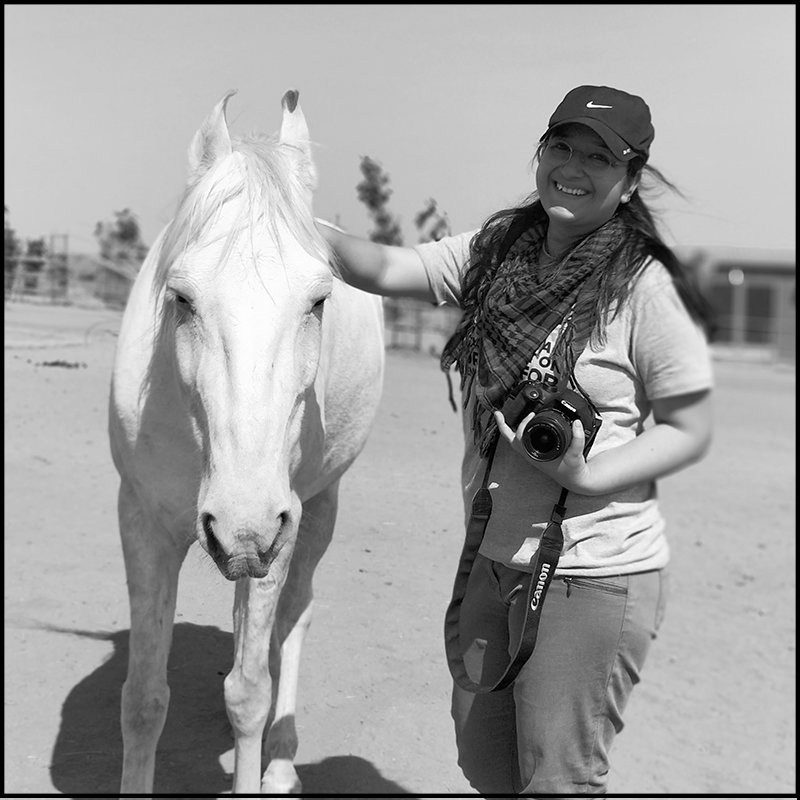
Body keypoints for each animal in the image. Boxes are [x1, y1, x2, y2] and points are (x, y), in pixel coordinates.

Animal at [108, 89, 384, 792]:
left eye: (318, 301)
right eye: (181, 297)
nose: (244, 524)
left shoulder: (283, 526)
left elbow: (250, 694)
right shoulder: (143, 521)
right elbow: (143, 699)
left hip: (314, 512)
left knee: (292, 621)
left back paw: (281, 766)